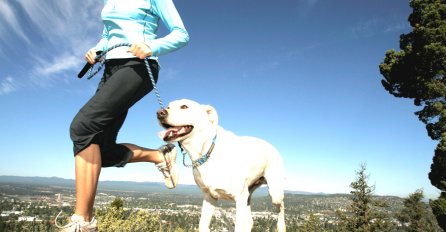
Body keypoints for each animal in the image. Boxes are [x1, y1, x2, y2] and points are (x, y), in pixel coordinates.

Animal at [157, 99, 286, 231]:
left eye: (184, 106)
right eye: (168, 106)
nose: (160, 113)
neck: (206, 151)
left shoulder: (239, 198)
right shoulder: (209, 197)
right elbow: (202, 225)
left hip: (274, 193)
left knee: (281, 207)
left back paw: (281, 226)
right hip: (248, 196)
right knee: (249, 221)